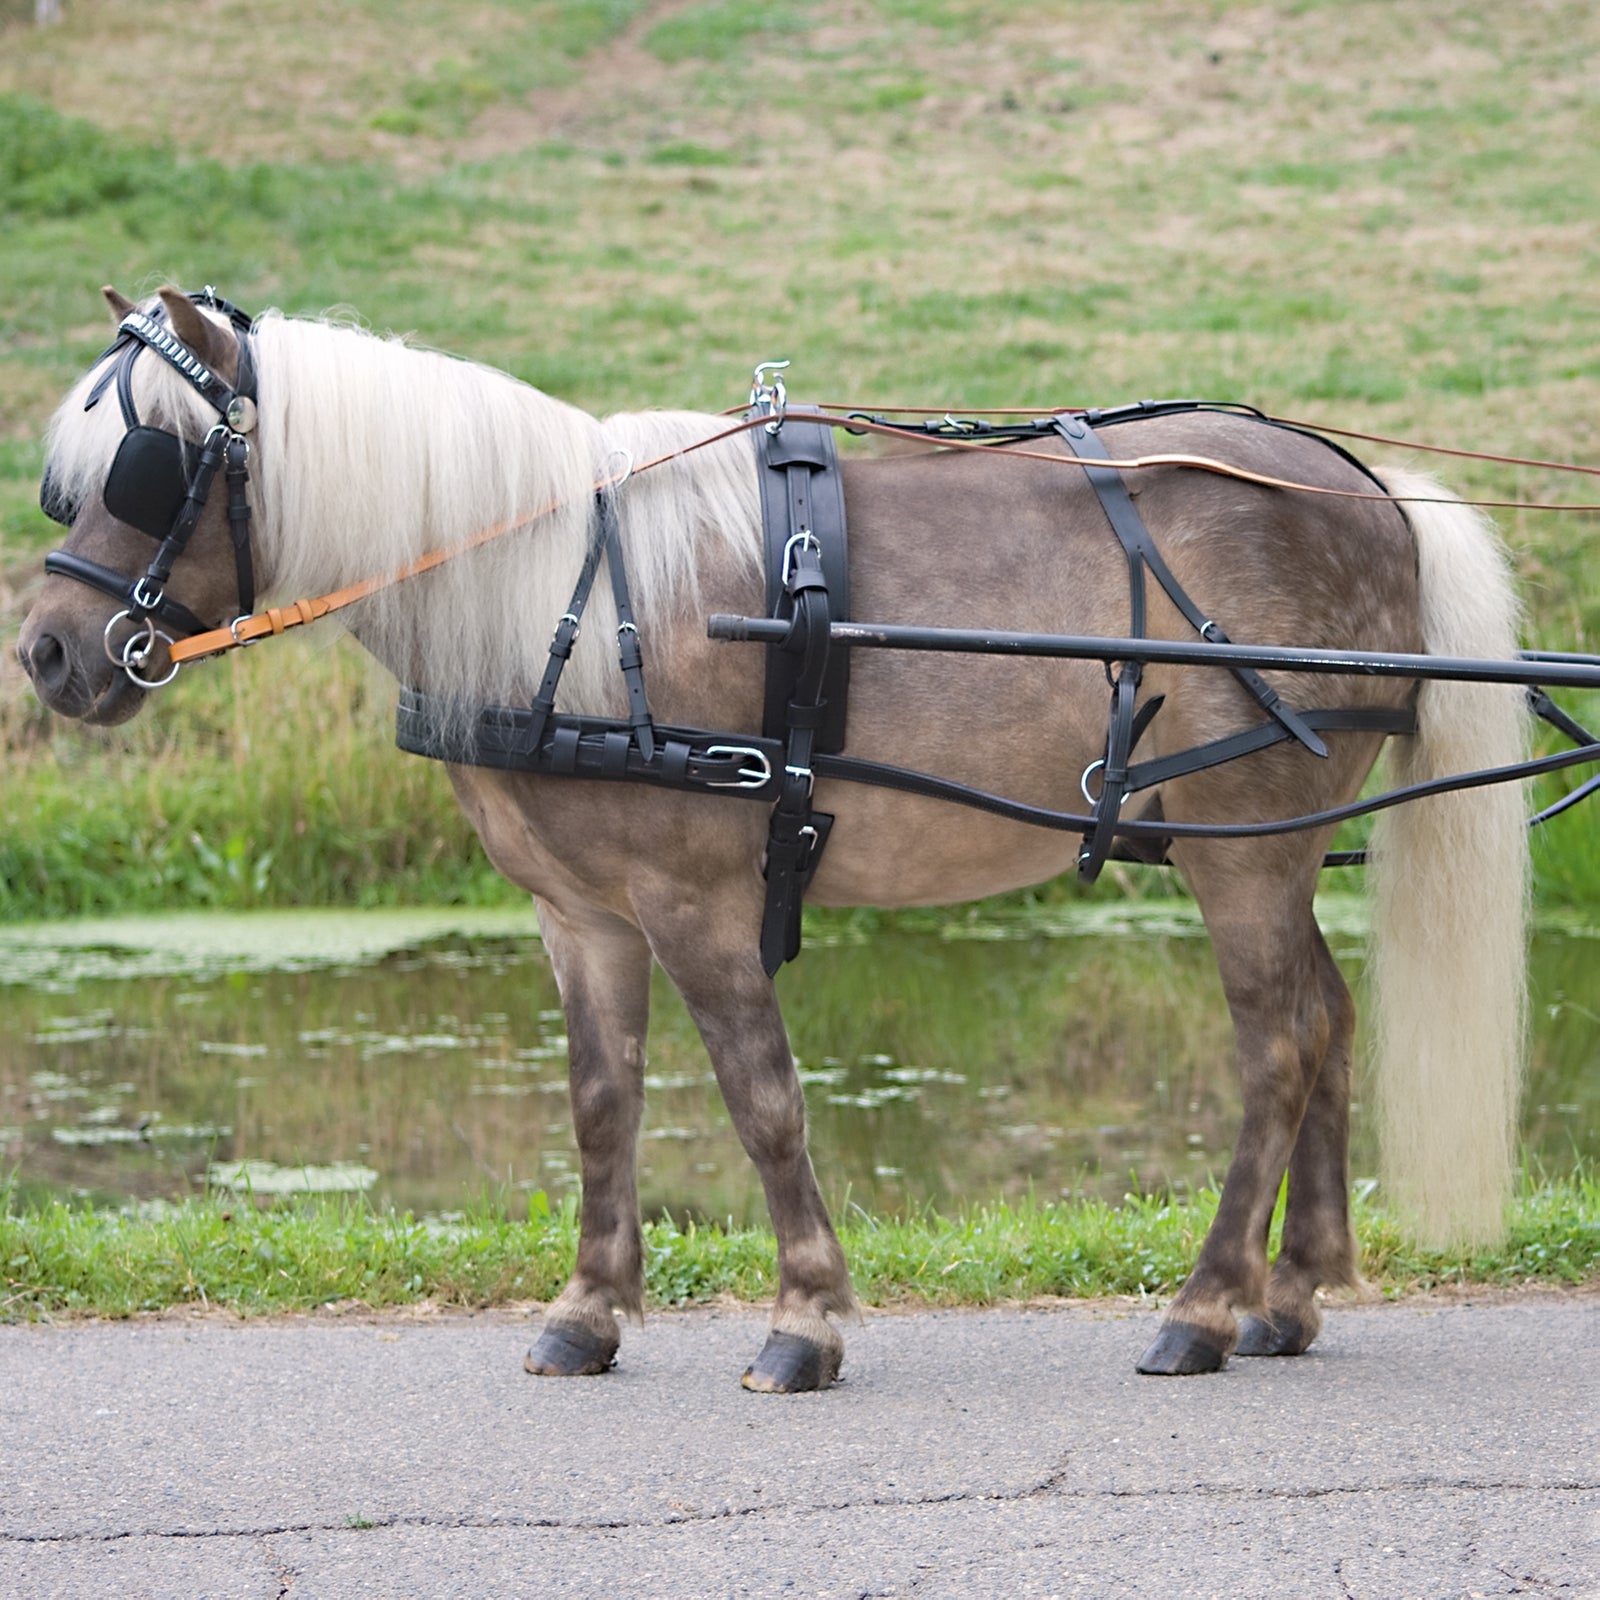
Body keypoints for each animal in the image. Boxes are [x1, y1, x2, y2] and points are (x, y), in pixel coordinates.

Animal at [17, 287, 1529, 1386]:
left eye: (148, 468)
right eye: (69, 481)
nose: (46, 655)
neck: (571, 596)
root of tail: (1362, 487)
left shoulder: (695, 901)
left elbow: (762, 1098)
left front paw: (805, 1318)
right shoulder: (582, 915)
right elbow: (602, 1103)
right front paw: (588, 1311)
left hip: (1241, 842)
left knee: (1277, 1044)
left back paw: (1205, 1306)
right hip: (1270, 845)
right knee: (1326, 1020)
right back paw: (1291, 1292)